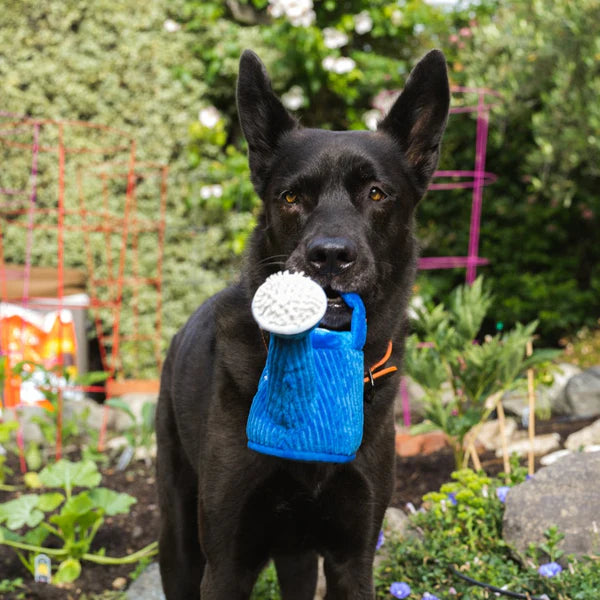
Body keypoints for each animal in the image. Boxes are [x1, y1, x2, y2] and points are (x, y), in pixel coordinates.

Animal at [157, 49, 448, 596]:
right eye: (291, 197)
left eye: (376, 193)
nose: (330, 256)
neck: (319, 362)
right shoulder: (226, 564)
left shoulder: (352, 558)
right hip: (178, 536)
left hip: (296, 555)